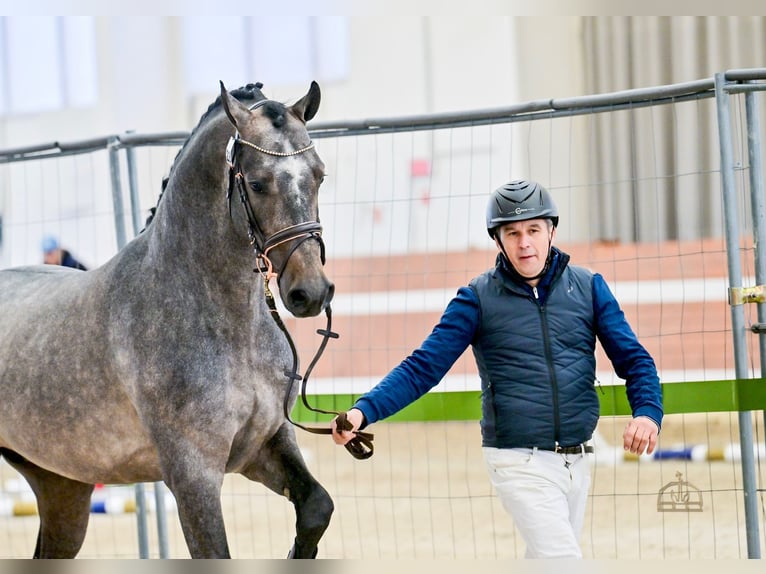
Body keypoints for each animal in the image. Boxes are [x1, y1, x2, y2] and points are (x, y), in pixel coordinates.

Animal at [0, 81, 336, 558]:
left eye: (319, 174)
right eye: (256, 183)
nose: (310, 292)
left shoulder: (266, 443)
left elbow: (316, 507)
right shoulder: (193, 475)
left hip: (62, 486)